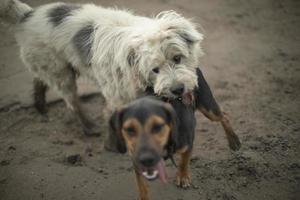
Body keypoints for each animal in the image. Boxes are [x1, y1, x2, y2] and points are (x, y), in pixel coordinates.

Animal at [0, 0, 203, 135]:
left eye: (177, 58)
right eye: (155, 69)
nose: (178, 89)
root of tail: (26, 16)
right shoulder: (118, 95)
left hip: (50, 66)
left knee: (39, 80)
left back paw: (41, 107)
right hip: (60, 72)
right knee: (71, 101)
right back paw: (89, 127)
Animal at [109, 67, 240, 200]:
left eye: (158, 127)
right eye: (129, 129)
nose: (145, 158)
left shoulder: (188, 143)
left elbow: (184, 161)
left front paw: (182, 177)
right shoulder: (136, 159)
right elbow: (142, 185)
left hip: (208, 107)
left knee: (224, 115)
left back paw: (234, 141)